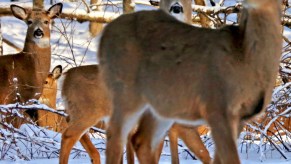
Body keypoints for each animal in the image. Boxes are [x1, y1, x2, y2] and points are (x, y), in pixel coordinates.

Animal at [100, 0, 282, 163]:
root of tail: (103, 35)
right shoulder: (216, 106)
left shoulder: (240, 118)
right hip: (125, 91)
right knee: (115, 137)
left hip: (161, 106)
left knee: (141, 141)